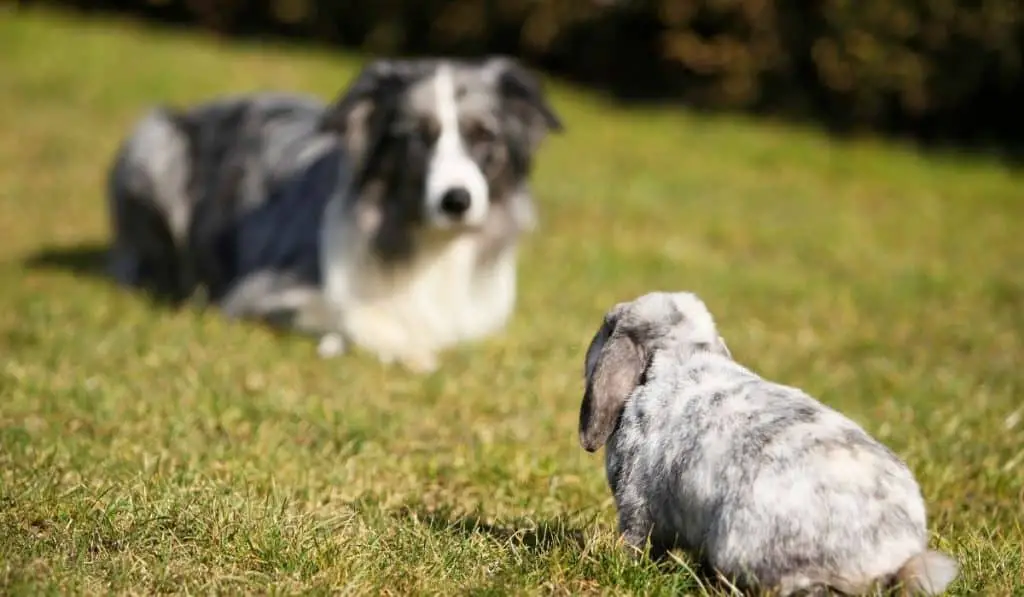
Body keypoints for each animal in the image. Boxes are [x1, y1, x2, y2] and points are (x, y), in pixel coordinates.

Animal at [105, 57, 561, 372]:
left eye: (484, 136)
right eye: (416, 138)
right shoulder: (259, 289)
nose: (456, 200)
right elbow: (346, 310)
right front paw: (408, 348)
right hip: (155, 144)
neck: (431, 247)